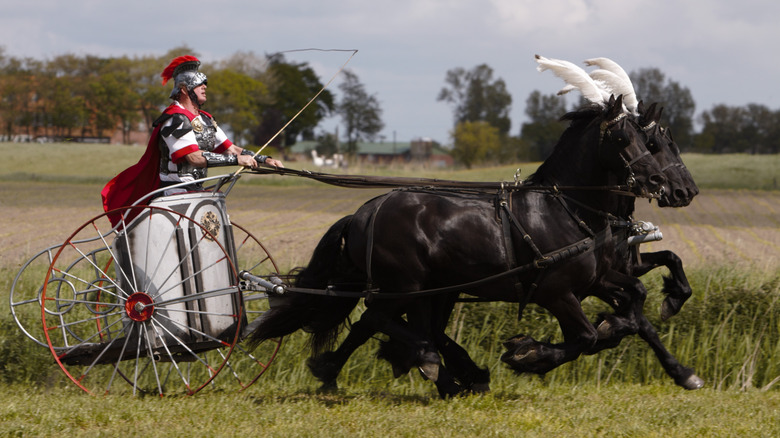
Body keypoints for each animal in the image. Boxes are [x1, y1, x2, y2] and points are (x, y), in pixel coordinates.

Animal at [250, 96, 672, 396]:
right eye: (624, 138)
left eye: (648, 140)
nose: (657, 180)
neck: (563, 208)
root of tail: (364, 212)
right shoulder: (557, 292)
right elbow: (585, 338)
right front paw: (527, 355)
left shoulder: (597, 280)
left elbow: (632, 301)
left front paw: (621, 325)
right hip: (407, 285)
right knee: (381, 317)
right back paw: (429, 364)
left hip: (432, 288)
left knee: (384, 323)